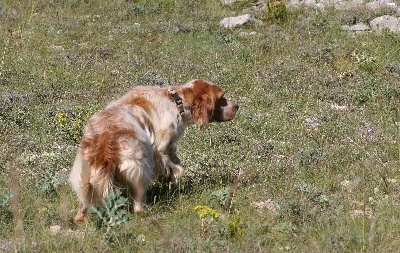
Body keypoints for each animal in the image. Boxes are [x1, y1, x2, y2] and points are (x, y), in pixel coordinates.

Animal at [68, 79, 238, 223]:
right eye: (222, 98)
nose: (237, 106)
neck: (176, 100)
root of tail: (105, 140)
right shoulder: (160, 145)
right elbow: (169, 161)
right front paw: (171, 175)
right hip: (140, 166)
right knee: (138, 198)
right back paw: (145, 209)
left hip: (82, 175)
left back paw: (81, 218)